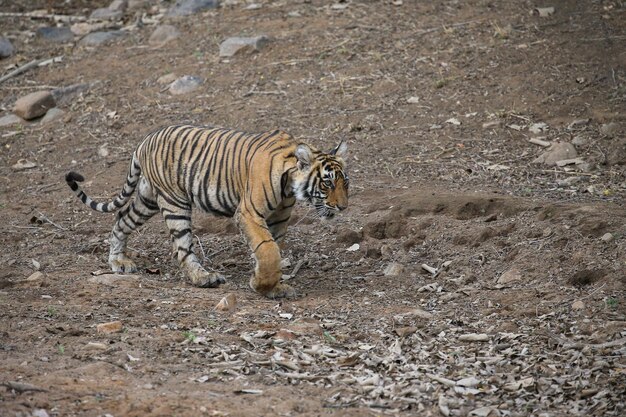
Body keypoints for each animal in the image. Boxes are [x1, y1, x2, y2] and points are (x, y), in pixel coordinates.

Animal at [66, 125, 348, 298]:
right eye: (327, 183)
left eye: (345, 182)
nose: (343, 207)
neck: (290, 185)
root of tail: (146, 139)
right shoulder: (248, 212)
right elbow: (268, 251)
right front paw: (261, 285)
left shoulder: (279, 218)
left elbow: (272, 250)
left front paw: (271, 286)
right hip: (175, 203)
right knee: (182, 249)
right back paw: (204, 278)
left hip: (147, 199)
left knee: (121, 219)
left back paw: (117, 261)